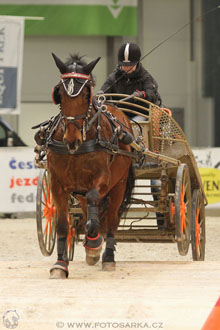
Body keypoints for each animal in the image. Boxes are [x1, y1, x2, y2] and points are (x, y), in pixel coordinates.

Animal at [47, 53, 135, 278]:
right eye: (60, 93)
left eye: (87, 93)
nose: (72, 139)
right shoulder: (57, 184)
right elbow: (62, 225)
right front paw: (60, 264)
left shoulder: (102, 180)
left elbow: (95, 205)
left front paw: (95, 242)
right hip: (78, 188)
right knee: (87, 207)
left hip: (119, 184)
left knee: (111, 218)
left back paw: (106, 255)